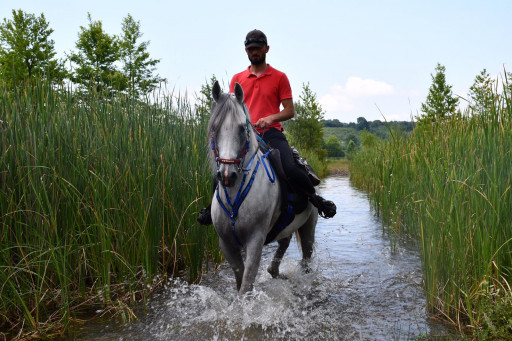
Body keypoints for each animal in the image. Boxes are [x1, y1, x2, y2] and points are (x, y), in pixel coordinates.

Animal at [208, 81, 316, 294]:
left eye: (242, 129)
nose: (227, 175)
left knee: (306, 259)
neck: (235, 197)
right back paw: (275, 271)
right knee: (283, 243)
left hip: (308, 228)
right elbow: (240, 279)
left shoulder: (255, 241)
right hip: (286, 226)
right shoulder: (226, 244)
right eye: (214, 128)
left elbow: (246, 285)